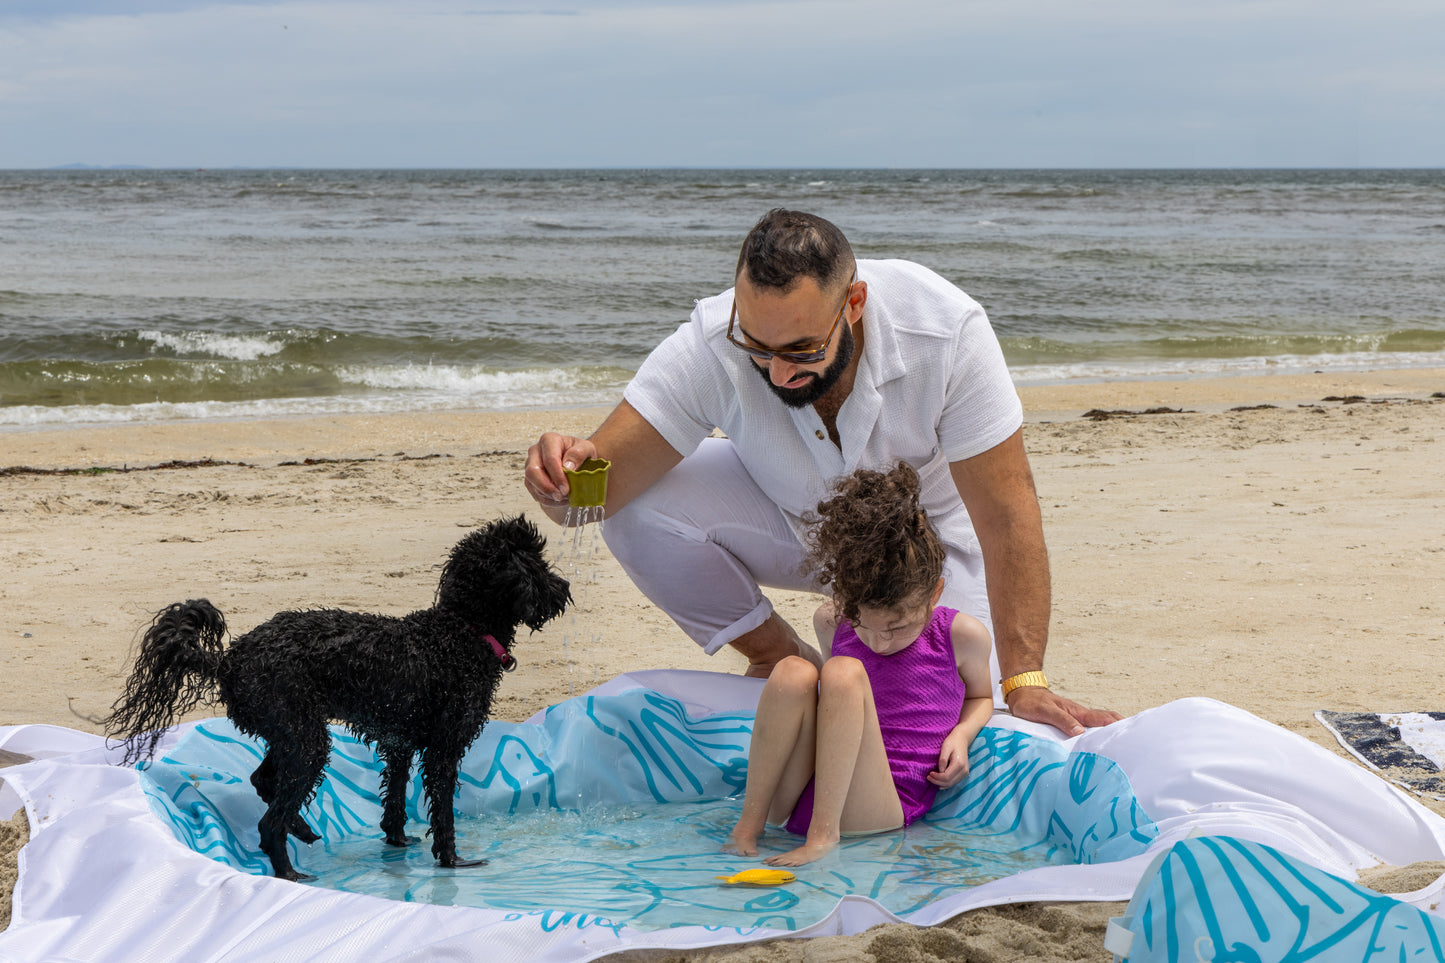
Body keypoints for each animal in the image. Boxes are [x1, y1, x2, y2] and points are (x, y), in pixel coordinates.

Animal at [105, 514, 569, 879]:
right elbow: (443, 813)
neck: (460, 631)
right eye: (537, 566)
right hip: (304, 737)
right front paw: (453, 860)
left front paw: (397, 841)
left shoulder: (399, 743)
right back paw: (289, 870)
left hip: (289, 731)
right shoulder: (444, 748)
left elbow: (394, 799)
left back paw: (302, 829)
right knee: (269, 820)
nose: (564, 587)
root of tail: (229, 659)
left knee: (263, 781)